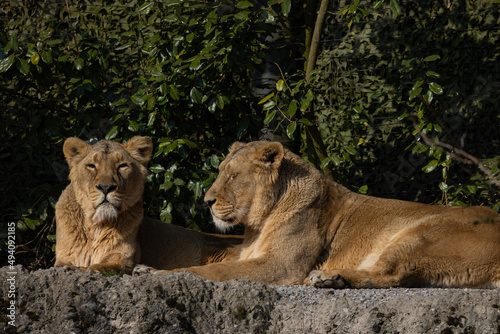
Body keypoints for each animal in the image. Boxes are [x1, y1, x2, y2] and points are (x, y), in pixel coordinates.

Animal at [54, 137, 242, 276]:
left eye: (122, 166)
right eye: (91, 166)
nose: (106, 187)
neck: (96, 225)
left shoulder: (123, 260)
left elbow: (100, 266)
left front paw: (79, 269)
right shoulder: (63, 256)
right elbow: (62, 264)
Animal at [135, 140, 500, 288]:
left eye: (233, 176)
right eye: (221, 171)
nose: (207, 201)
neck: (258, 223)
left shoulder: (282, 265)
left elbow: (213, 271)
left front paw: (156, 274)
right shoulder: (247, 251)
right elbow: (215, 258)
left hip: (420, 234)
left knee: (392, 275)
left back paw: (326, 277)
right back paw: (332, 279)